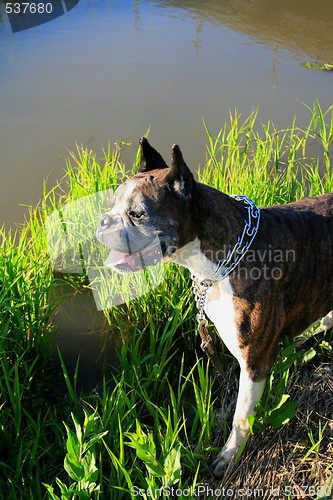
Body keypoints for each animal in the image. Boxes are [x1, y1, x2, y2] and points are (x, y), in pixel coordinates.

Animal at [96, 138, 332, 480]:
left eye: (137, 214)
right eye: (113, 205)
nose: (103, 220)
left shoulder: (254, 363)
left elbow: (242, 416)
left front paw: (229, 456)